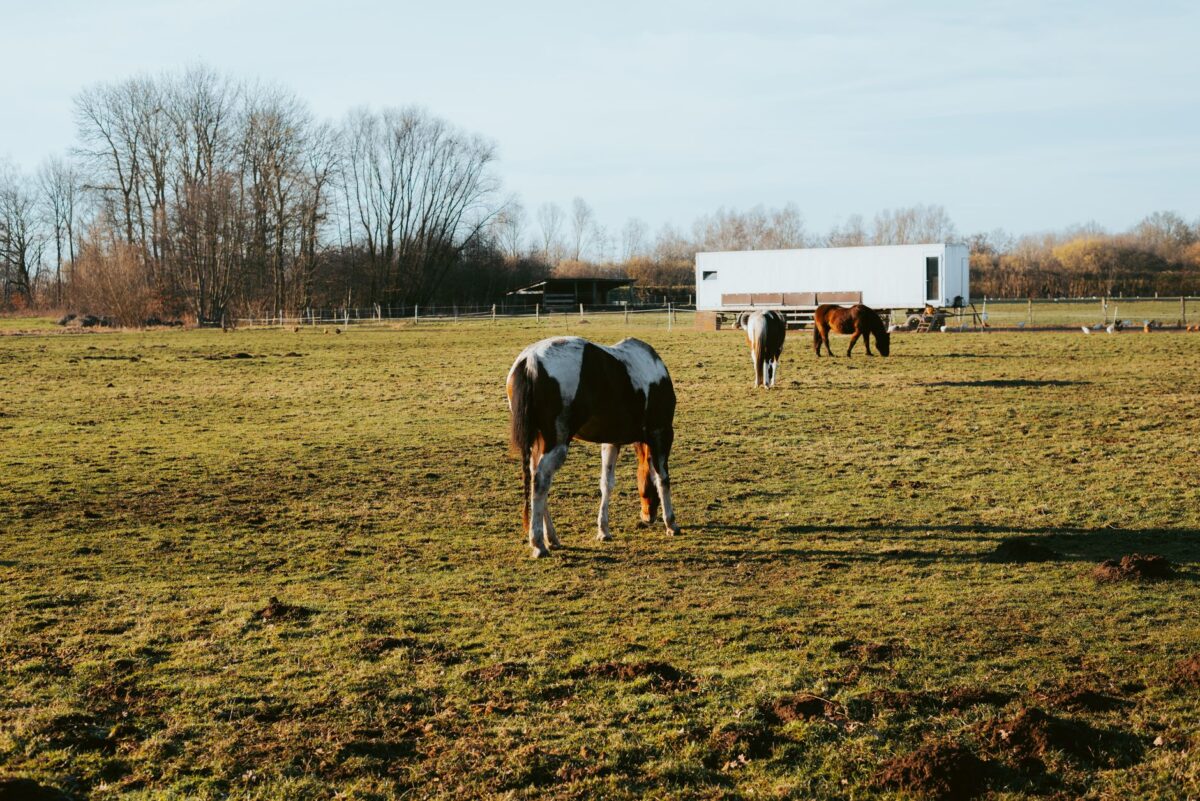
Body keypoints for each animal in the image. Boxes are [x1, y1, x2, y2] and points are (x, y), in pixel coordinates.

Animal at [506, 336, 679, 558]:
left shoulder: (612, 441)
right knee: (540, 481)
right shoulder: (661, 433)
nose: (648, 516)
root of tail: (530, 361)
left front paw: (603, 530)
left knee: (536, 476)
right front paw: (671, 523)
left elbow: (607, 483)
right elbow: (662, 478)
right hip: (556, 444)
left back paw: (551, 538)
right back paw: (538, 544)